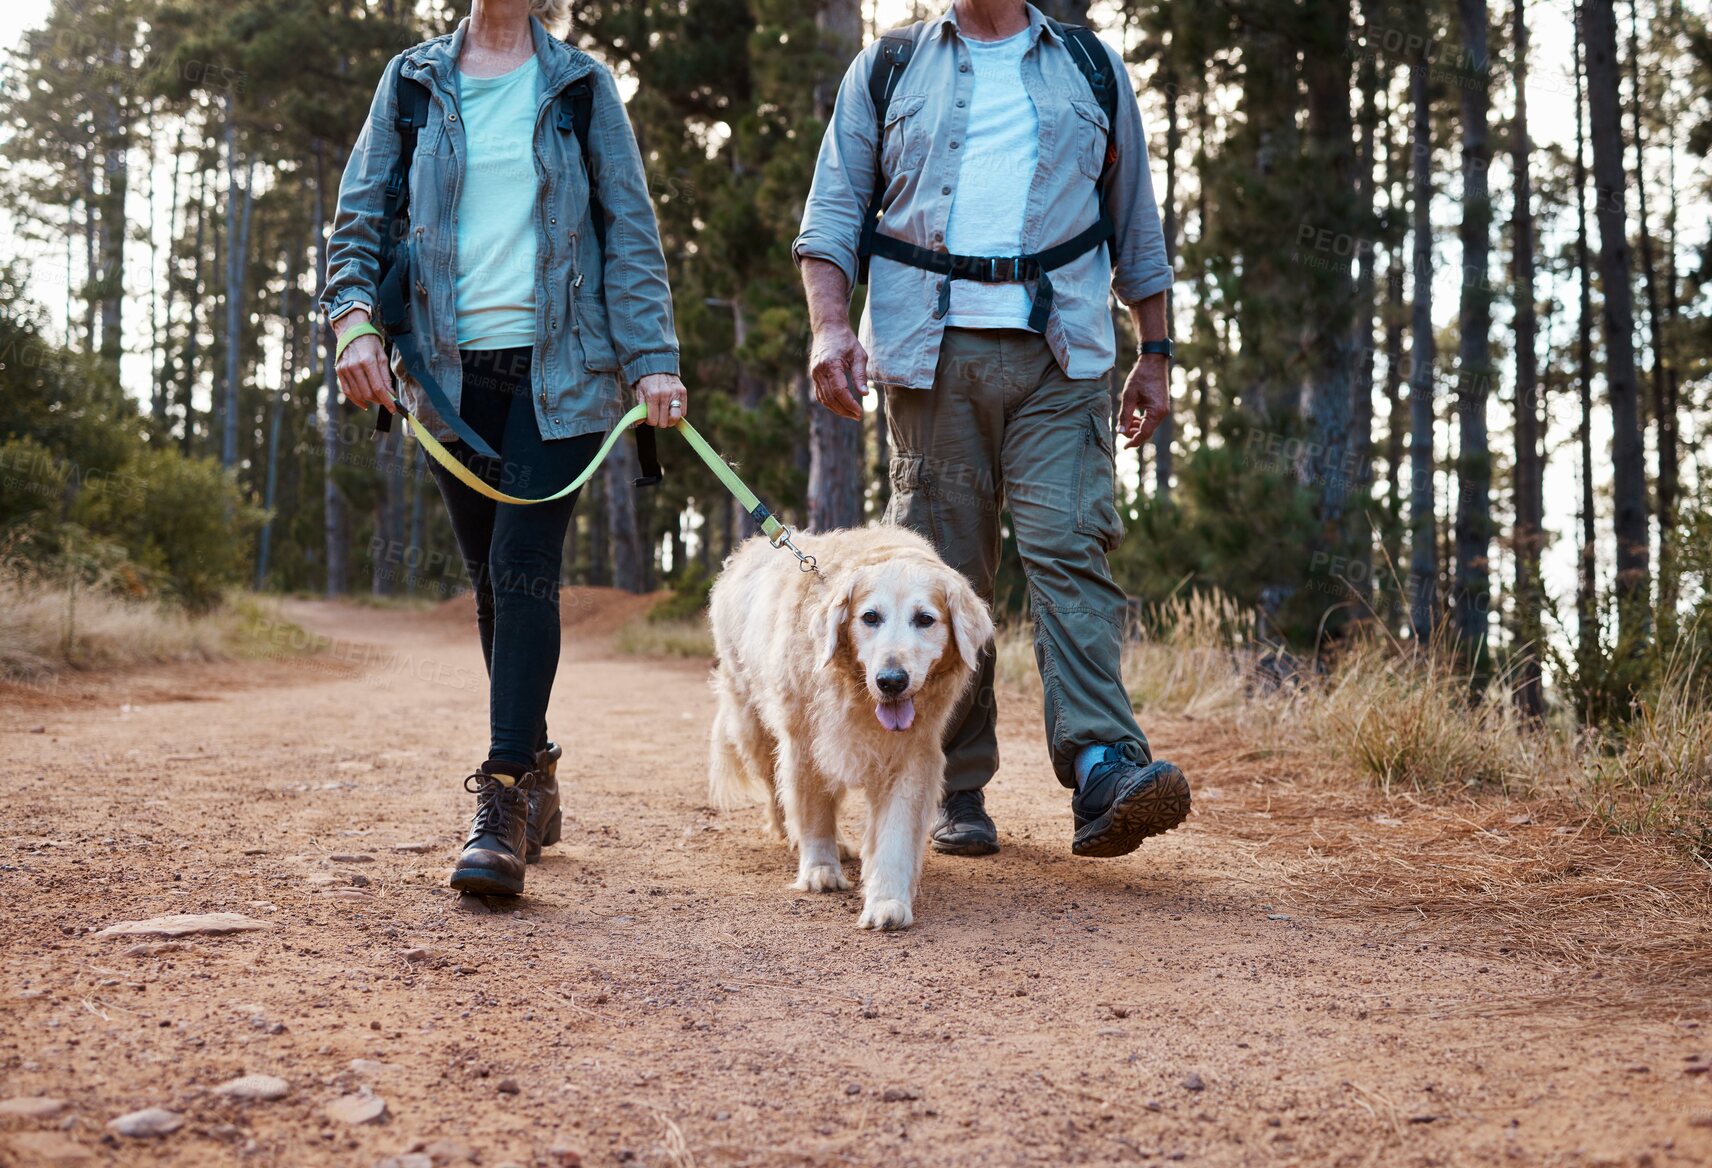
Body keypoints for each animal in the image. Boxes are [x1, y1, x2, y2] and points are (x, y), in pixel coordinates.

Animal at [708, 527, 999, 924]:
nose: (891, 681)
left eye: (925, 619)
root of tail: (744, 551)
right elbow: (813, 812)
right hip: (755, 726)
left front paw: (888, 901)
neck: (857, 693)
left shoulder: (913, 755)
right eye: (870, 617)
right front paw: (820, 869)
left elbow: (895, 834)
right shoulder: (806, 744)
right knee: (775, 790)